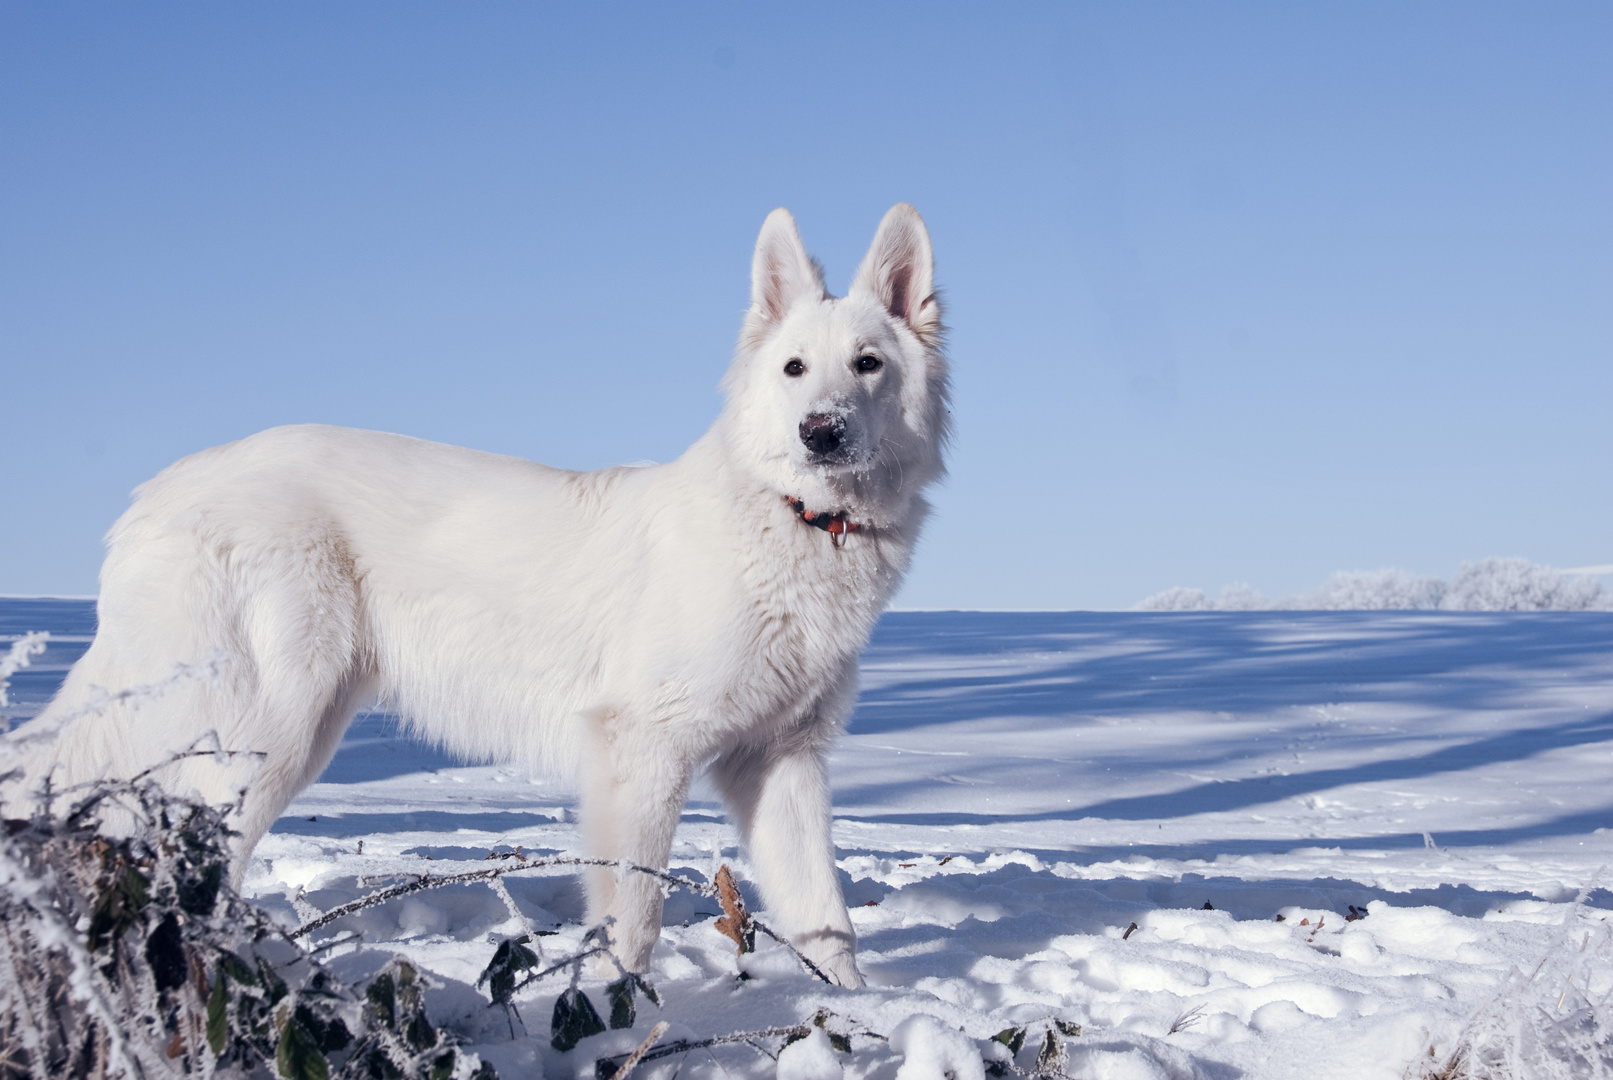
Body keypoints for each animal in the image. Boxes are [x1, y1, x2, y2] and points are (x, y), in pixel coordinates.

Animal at [9, 203, 941, 992]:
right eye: (793, 368)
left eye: (867, 365)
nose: (820, 431)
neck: (791, 521)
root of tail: (160, 490)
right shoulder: (642, 753)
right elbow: (632, 919)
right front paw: (622, 1015)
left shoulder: (781, 763)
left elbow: (825, 920)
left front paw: (859, 1016)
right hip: (271, 729)